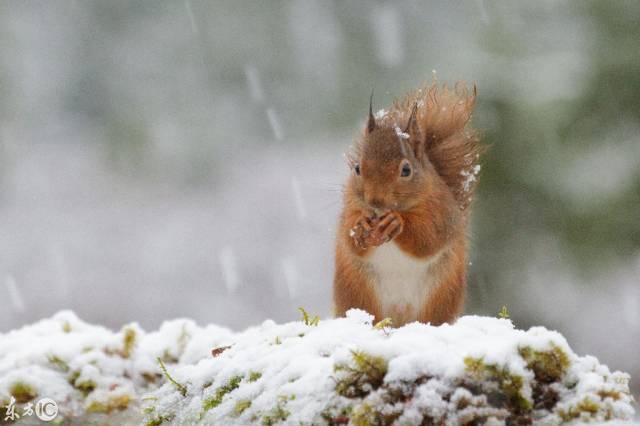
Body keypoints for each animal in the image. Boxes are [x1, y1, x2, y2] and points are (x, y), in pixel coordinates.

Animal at [336, 80, 480, 326]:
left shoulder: (442, 212)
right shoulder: (349, 207)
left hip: (439, 297)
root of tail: (399, 314)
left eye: (406, 170)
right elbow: (349, 237)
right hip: (359, 293)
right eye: (357, 168)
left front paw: (397, 223)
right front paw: (361, 226)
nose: (375, 201)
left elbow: (428, 239)